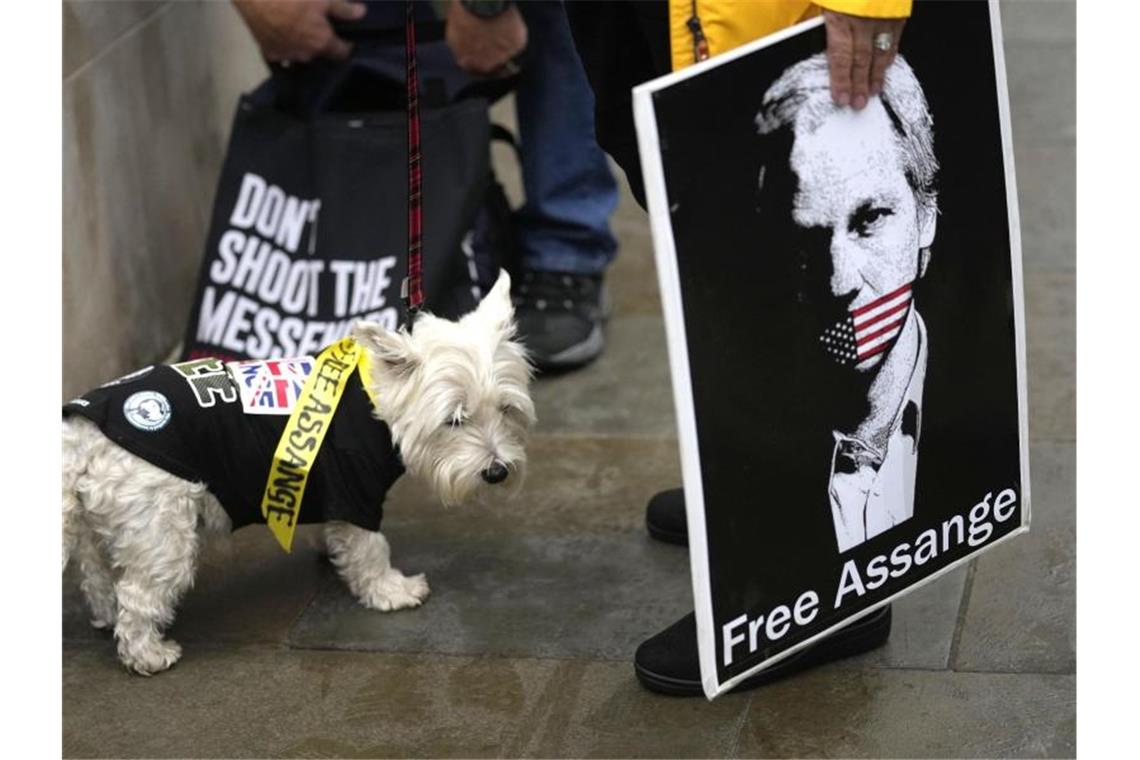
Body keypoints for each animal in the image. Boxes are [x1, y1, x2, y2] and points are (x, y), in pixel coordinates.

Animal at [64, 270, 535, 674]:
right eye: (454, 420)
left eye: (506, 409)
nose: (497, 472)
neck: (376, 402)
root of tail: (84, 434)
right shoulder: (356, 492)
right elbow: (370, 550)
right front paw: (391, 591)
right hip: (161, 534)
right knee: (137, 595)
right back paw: (148, 654)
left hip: (106, 527)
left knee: (98, 577)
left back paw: (107, 618)